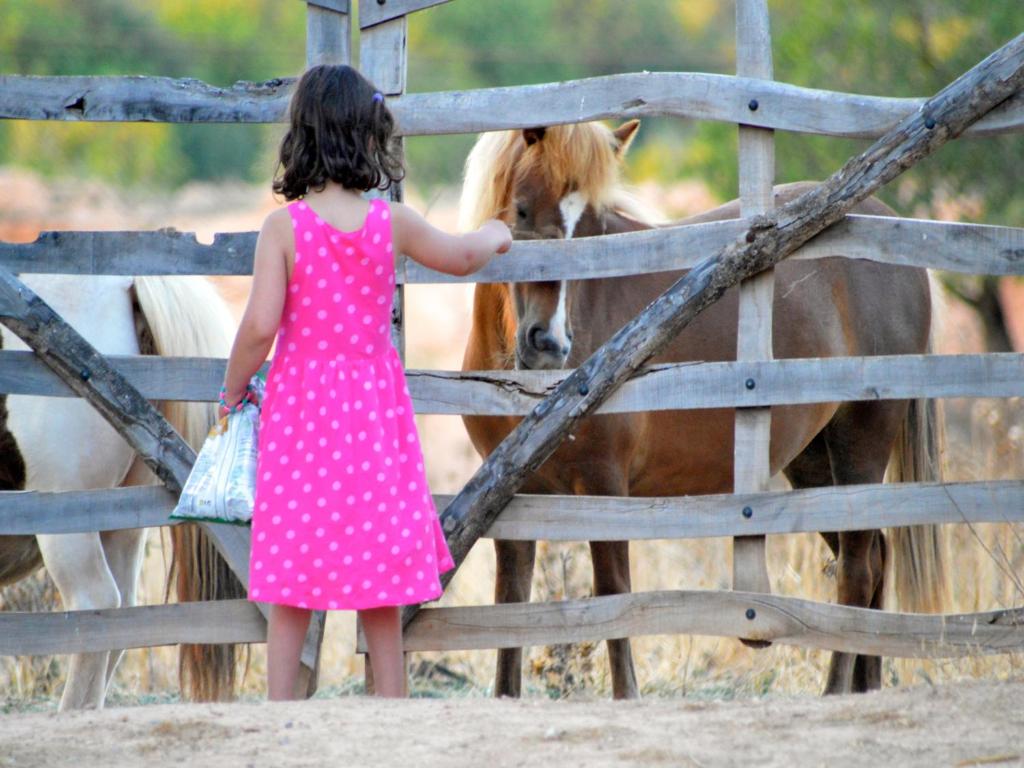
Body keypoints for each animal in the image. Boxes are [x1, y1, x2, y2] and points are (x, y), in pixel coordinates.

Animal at [460, 121, 946, 704]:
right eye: (524, 208)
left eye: (597, 230)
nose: (550, 344)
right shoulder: (509, 500)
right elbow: (509, 605)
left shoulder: (604, 485)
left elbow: (612, 594)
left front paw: (627, 696)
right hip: (811, 461)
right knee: (876, 560)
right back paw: (864, 687)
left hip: (861, 443)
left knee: (856, 569)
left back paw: (835, 692)